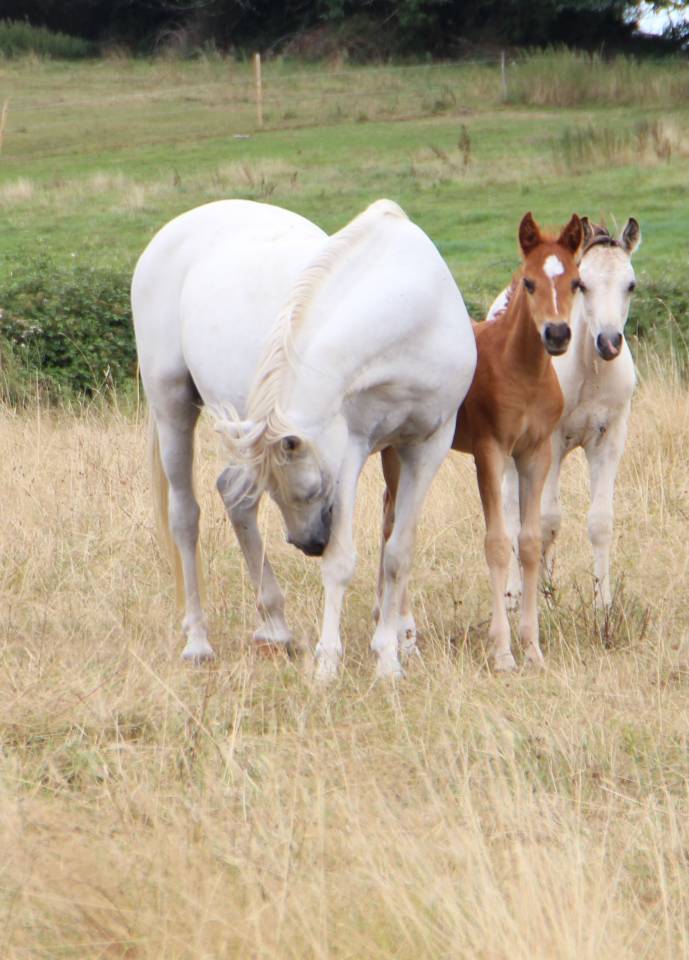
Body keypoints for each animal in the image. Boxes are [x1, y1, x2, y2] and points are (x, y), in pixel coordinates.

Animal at [132, 198, 477, 681]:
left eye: (311, 490)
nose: (308, 544)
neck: (413, 315)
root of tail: (173, 231)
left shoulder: (426, 446)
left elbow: (396, 554)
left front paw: (389, 658)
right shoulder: (350, 448)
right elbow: (342, 561)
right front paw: (328, 663)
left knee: (234, 496)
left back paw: (275, 628)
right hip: (172, 407)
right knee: (186, 517)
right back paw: (198, 642)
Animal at [379, 212, 583, 671]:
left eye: (577, 283)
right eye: (529, 282)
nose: (557, 334)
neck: (522, 372)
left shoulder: (535, 454)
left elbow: (529, 543)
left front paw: (533, 649)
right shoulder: (490, 451)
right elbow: (497, 544)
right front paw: (503, 652)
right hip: (397, 450)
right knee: (394, 524)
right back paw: (401, 636)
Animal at [501, 216, 641, 609]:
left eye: (631, 285)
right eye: (583, 285)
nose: (608, 342)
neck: (590, 371)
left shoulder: (610, 439)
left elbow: (600, 522)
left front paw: (603, 604)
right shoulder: (550, 441)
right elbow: (546, 521)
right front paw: (542, 601)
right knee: (512, 512)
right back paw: (513, 594)